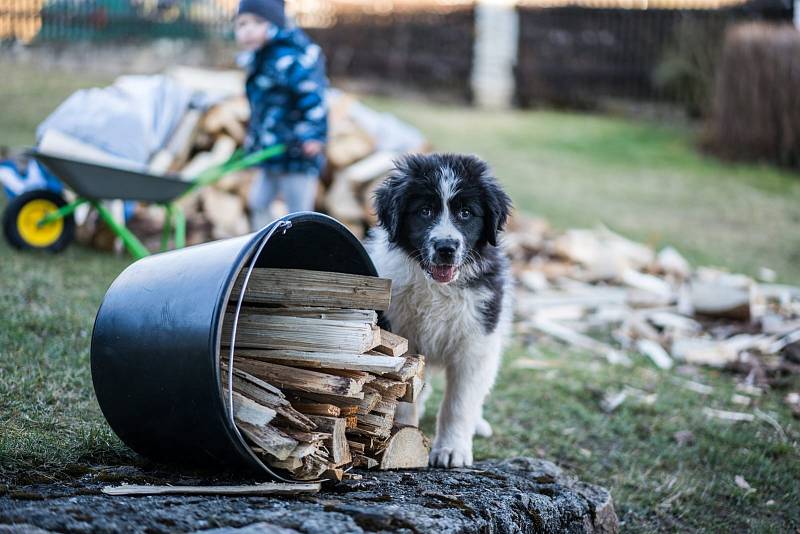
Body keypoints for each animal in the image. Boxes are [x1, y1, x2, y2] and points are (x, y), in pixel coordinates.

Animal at [364, 152, 512, 468]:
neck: (437, 288)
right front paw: (403, 437)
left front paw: (452, 450)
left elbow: (459, 403)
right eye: (425, 211)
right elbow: (404, 392)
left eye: (466, 213)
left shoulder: (477, 342)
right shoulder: (400, 336)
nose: (446, 247)